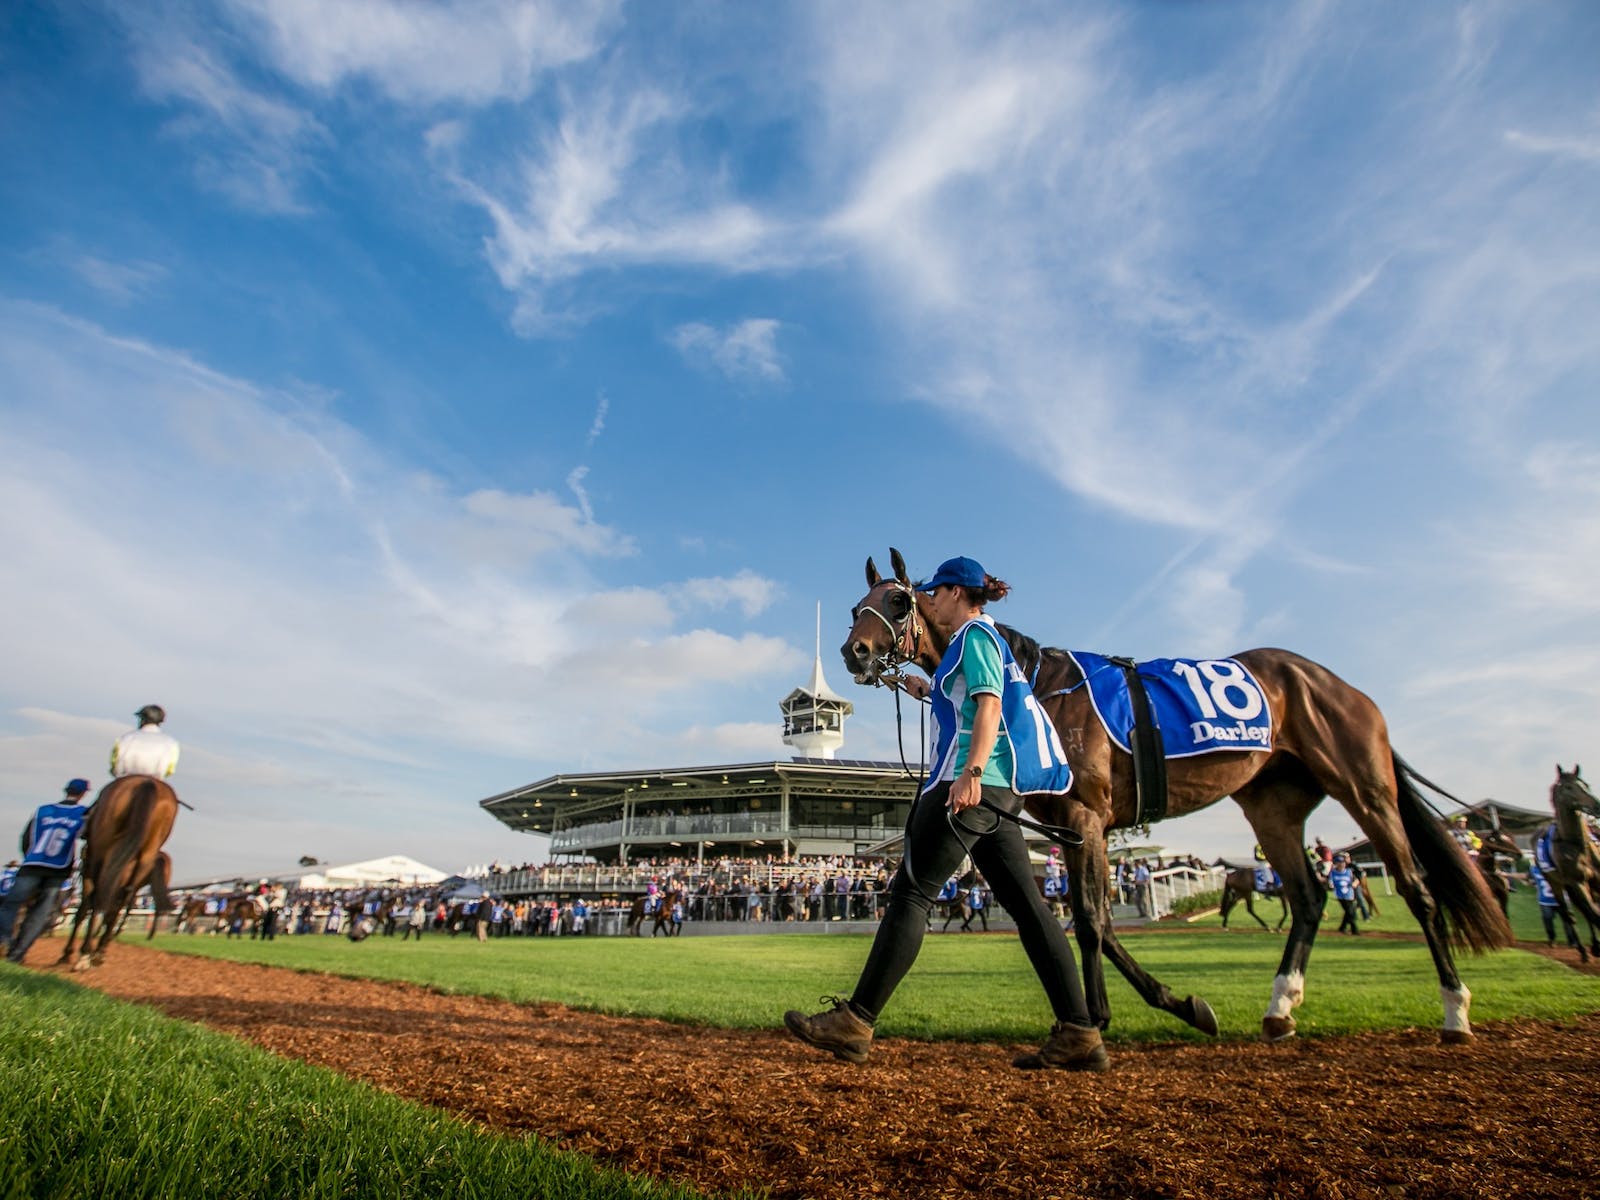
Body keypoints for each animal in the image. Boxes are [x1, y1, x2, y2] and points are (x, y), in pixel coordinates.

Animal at [59, 780, 180, 966]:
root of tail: (148, 783)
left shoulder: (91, 866)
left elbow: (85, 907)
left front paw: (69, 953)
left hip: (102, 854)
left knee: (102, 899)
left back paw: (88, 952)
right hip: (143, 859)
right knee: (125, 900)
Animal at [851, 553, 1510, 1043]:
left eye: (899, 600)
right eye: (859, 604)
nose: (853, 650)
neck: (1041, 688)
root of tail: (1341, 686)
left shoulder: (1086, 818)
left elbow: (1090, 920)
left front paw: (1100, 1018)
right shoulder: (1075, 826)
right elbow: (1098, 921)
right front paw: (1175, 1005)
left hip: (1363, 789)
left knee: (1418, 890)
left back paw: (1455, 1011)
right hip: (1272, 804)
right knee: (1308, 897)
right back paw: (1280, 1009)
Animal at [1536, 771, 1600, 966]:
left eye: (1586, 785)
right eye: (1569, 787)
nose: (1596, 805)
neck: (1577, 843)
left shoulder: (1595, 880)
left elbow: (1593, 911)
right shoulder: (1577, 882)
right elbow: (1594, 914)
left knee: (1585, 911)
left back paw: (1594, 946)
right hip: (1557, 884)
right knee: (1569, 914)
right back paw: (1584, 951)